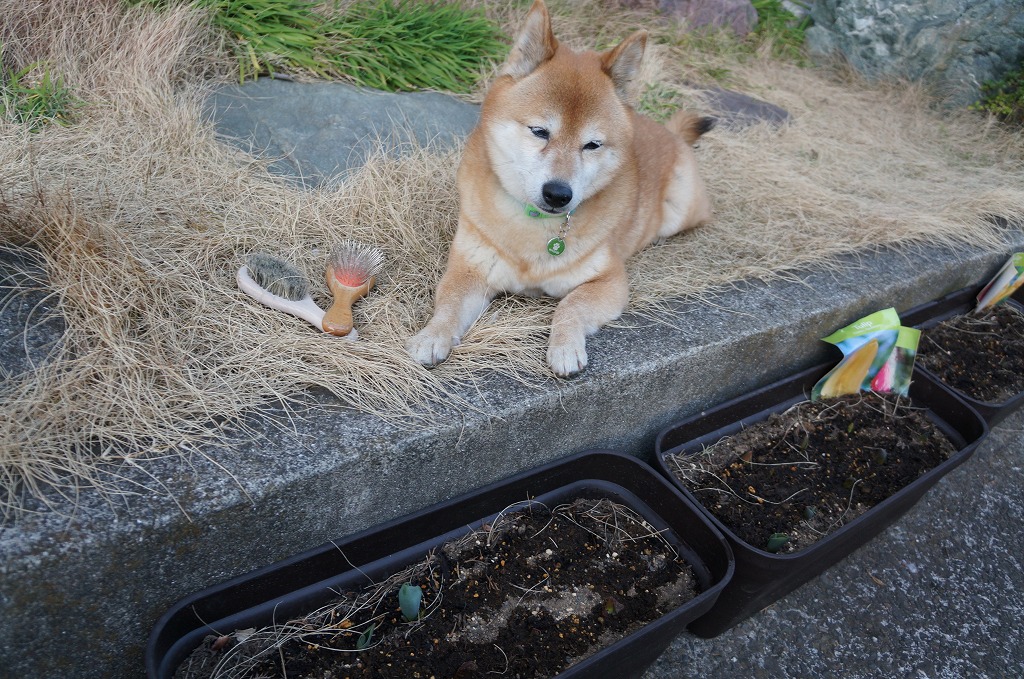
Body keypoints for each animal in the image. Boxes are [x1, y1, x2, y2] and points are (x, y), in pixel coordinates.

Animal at [407, 0, 713, 377]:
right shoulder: (470, 266)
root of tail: (668, 131)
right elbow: (449, 304)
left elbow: (571, 305)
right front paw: (432, 336)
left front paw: (565, 346)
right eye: (540, 131)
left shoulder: (609, 280)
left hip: (679, 209)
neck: (532, 229)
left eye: (592, 145)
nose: (557, 193)